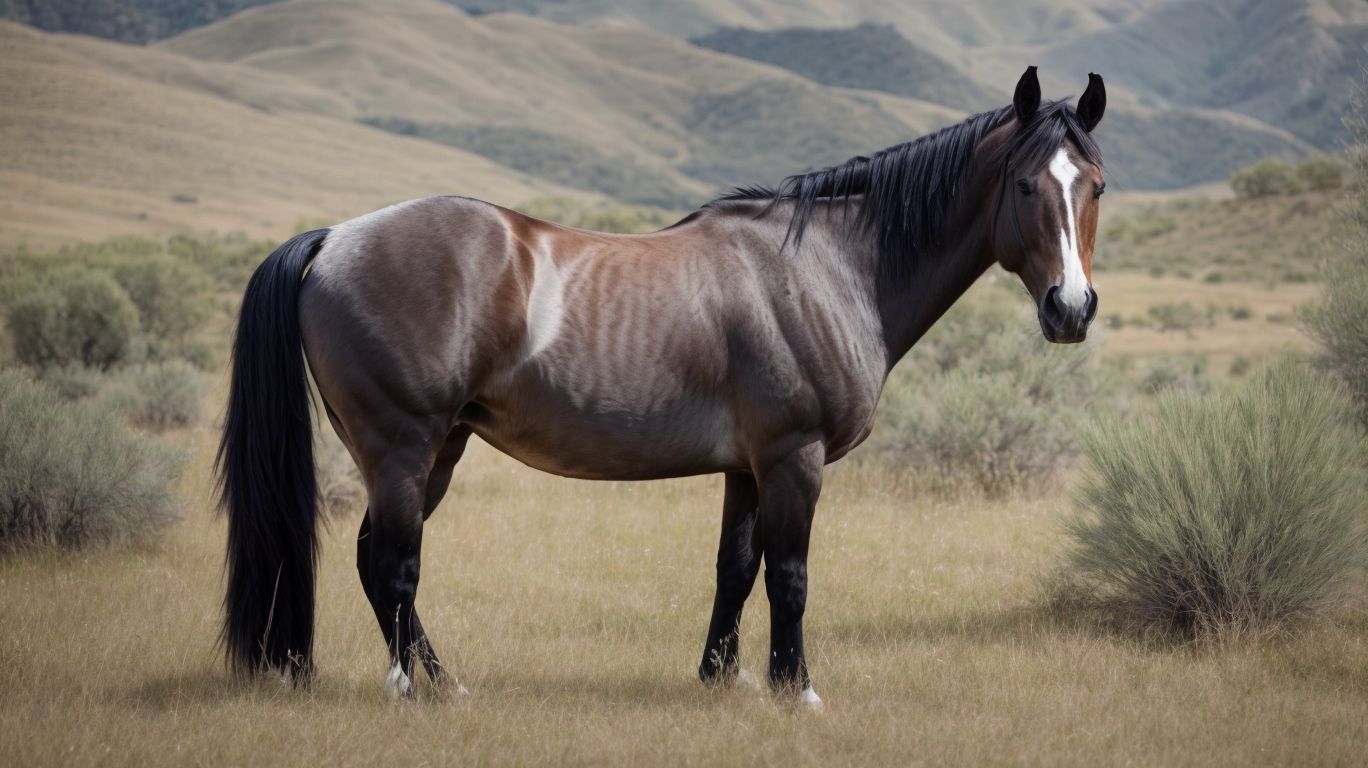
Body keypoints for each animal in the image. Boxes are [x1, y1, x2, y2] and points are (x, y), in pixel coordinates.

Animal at [216, 65, 1106, 706]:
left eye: (1094, 185)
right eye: (1025, 185)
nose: (1071, 308)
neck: (827, 266)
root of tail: (335, 238)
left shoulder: (749, 466)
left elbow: (736, 570)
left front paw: (724, 680)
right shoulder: (794, 458)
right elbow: (790, 577)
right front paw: (798, 691)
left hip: (438, 449)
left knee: (376, 561)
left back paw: (439, 682)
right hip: (405, 448)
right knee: (393, 565)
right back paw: (419, 689)